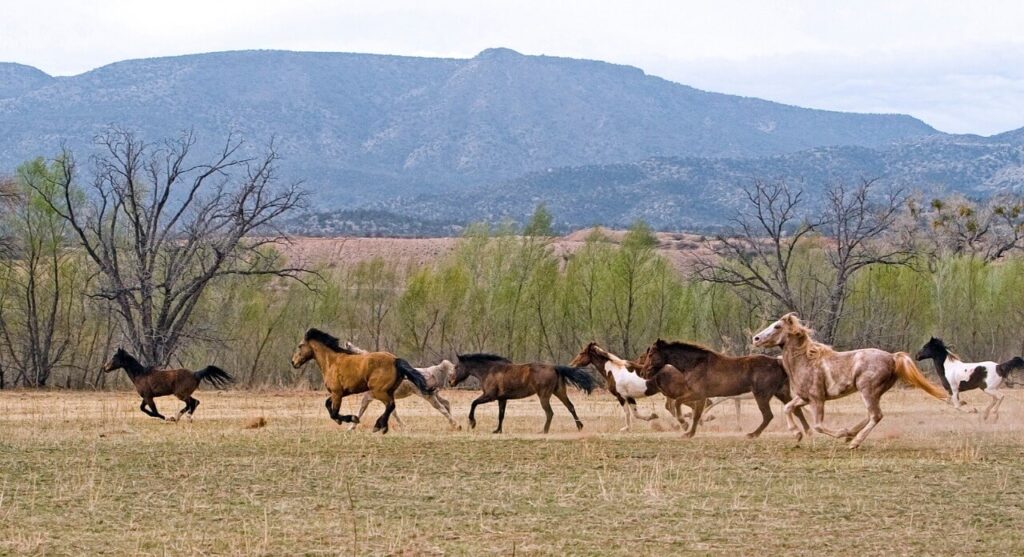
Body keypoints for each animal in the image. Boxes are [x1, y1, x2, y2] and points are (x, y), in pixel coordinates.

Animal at [102, 347, 233, 421]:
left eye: (114, 357)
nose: (105, 368)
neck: (140, 375)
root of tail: (196, 374)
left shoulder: (149, 397)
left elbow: (154, 411)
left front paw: (164, 417)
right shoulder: (146, 397)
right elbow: (143, 409)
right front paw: (163, 417)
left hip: (180, 394)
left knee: (192, 403)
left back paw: (179, 417)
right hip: (183, 394)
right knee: (194, 402)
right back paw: (181, 417)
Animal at [290, 328, 432, 433]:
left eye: (300, 346)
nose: (293, 362)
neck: (331, 362)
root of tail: (395, 360)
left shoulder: (337, 393)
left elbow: (334, 413)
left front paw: (352, 419)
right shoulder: (341, 393)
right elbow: (327, 404)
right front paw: (342, 421)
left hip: (379, 391)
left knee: (390, 405)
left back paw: (378, 426)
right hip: (388, 391)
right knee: (391, 406)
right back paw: (382, 426)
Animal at [449, 353, 598, 433]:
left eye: (456, 367)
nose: (451, 382)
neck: (490, 370)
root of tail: (555, 367)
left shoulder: (490, 396)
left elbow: (473, 403)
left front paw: (472, 422)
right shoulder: (502, 399)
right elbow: (501, 415)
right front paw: (498, 430)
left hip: (544, 396)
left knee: (550, 413)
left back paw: (544, 431)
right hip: (559, 392)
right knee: (570, 407)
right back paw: (579, 426)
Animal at [641, 339, 809, 438]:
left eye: (651, 354)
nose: (643, 372)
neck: (694, 363)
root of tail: (778, 362)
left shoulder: (698, 394)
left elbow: (681, 406)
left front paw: (685, 426)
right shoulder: (700, 396)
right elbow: (695, 414)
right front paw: (690, 431)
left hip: (762, 396)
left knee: (768, 415)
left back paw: (753, 434)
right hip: (782, 393)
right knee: (796, 410)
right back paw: (806, 431)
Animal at [753, 313, 948, 449]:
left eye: (777, 326)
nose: (756, 338)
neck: (806, 360)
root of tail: (892, 357)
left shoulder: (817, 399)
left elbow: (818, 425)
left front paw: (841, 432)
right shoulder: (804, 397)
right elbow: (788, 408)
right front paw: (796, 434)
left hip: (867, 390)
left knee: (876, 415)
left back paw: (854, 441)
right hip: (875, 392)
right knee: (871, 415)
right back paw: (851, 435)